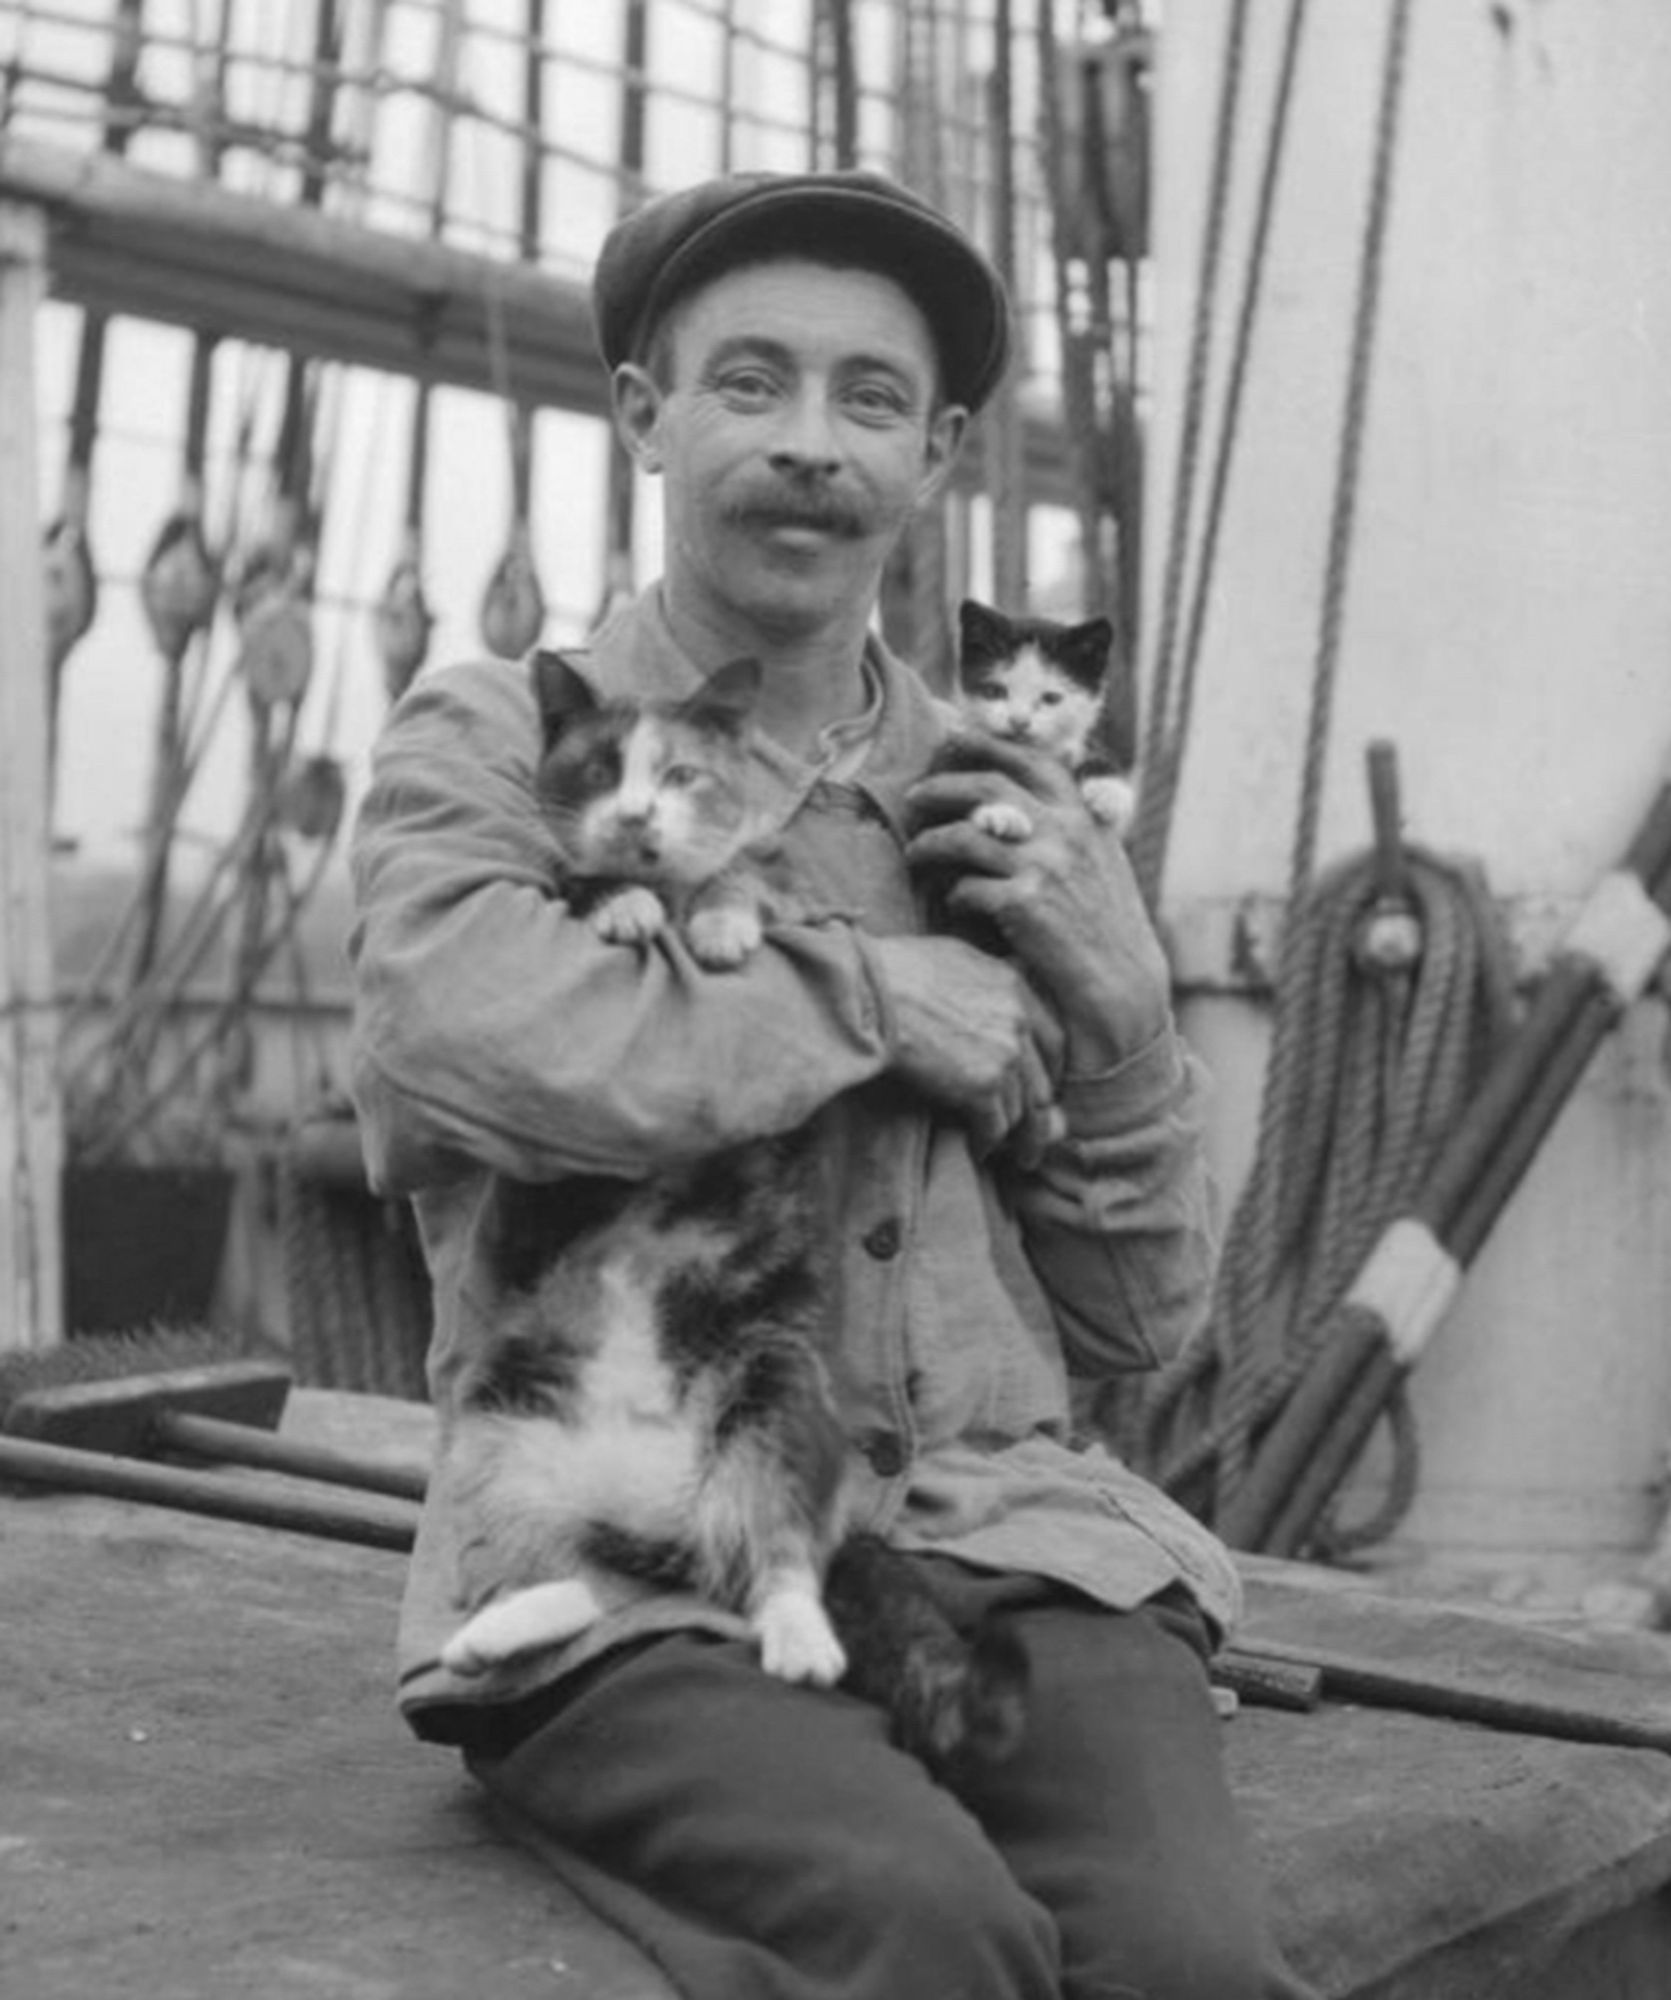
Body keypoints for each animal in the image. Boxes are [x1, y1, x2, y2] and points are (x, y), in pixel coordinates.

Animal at [437, 656, 1023, 1784]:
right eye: (599, 769)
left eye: (678, 774)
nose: (634, 818)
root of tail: (659, 1508)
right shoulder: (551, 883)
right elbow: (576, 884)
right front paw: (621, 906)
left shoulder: (776, 880)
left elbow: (745, 883)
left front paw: (718, 923)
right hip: (502, 1423)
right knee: (578, 1576)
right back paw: (496, 1628)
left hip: (773, 1404)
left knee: (777, 1560)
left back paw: (802, 1640)